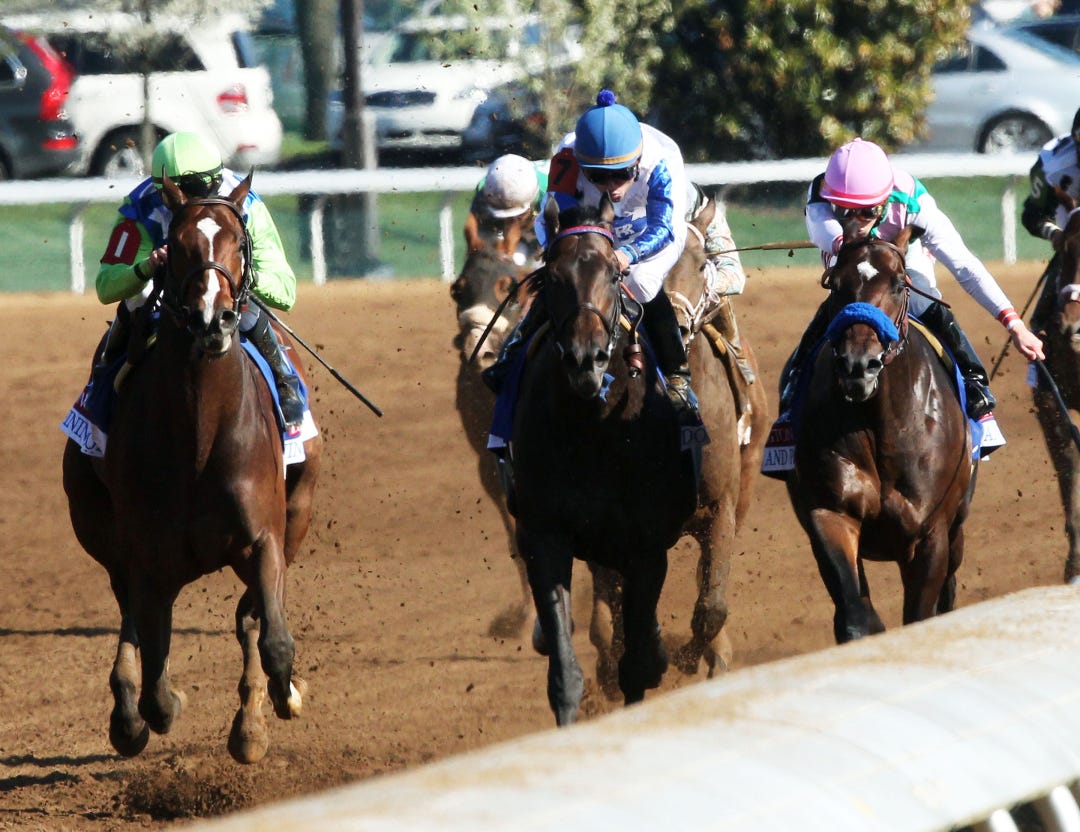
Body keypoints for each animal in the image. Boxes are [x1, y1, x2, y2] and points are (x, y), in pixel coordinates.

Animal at [61, 172, 322, 764]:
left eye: (239, 242)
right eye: (176, 247)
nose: (214, 318)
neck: (201, 438)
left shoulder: (265, 535)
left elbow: (272, 638)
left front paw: (278, 700)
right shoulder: (147, 555)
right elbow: (156, 678)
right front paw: (151, 708)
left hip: (298, 511)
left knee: (249, 617)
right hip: (100, 530)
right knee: (132, 617)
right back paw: (126, 715)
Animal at [511, 194, 697, 725]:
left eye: (614, 276)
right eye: (551, 277)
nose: (585, 359)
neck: (595, 430)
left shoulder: (647, 548)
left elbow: (635, 667)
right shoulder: (545, 535)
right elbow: (565, 674)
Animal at [785, 229, 975, 643]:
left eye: (899, 285)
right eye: (834, 284)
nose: (858, 365)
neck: (880, 426)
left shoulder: (929, 535)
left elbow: (921, 615)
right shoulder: (830, 515)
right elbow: (855, 616)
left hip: (956, 528)